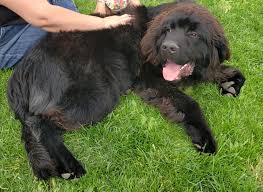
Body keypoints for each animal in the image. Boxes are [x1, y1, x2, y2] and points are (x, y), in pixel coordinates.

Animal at [7, 0, 245, 180]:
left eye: (194, 34)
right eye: (167, 30)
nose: (167, 47)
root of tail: (20, 73)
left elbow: (235, 73)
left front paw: (229, 84)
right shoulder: (150, 78)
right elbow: (190, 103)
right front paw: (204, 138)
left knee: (31, 125)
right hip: (99, 95)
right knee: (40, 121)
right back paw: (70, 166)